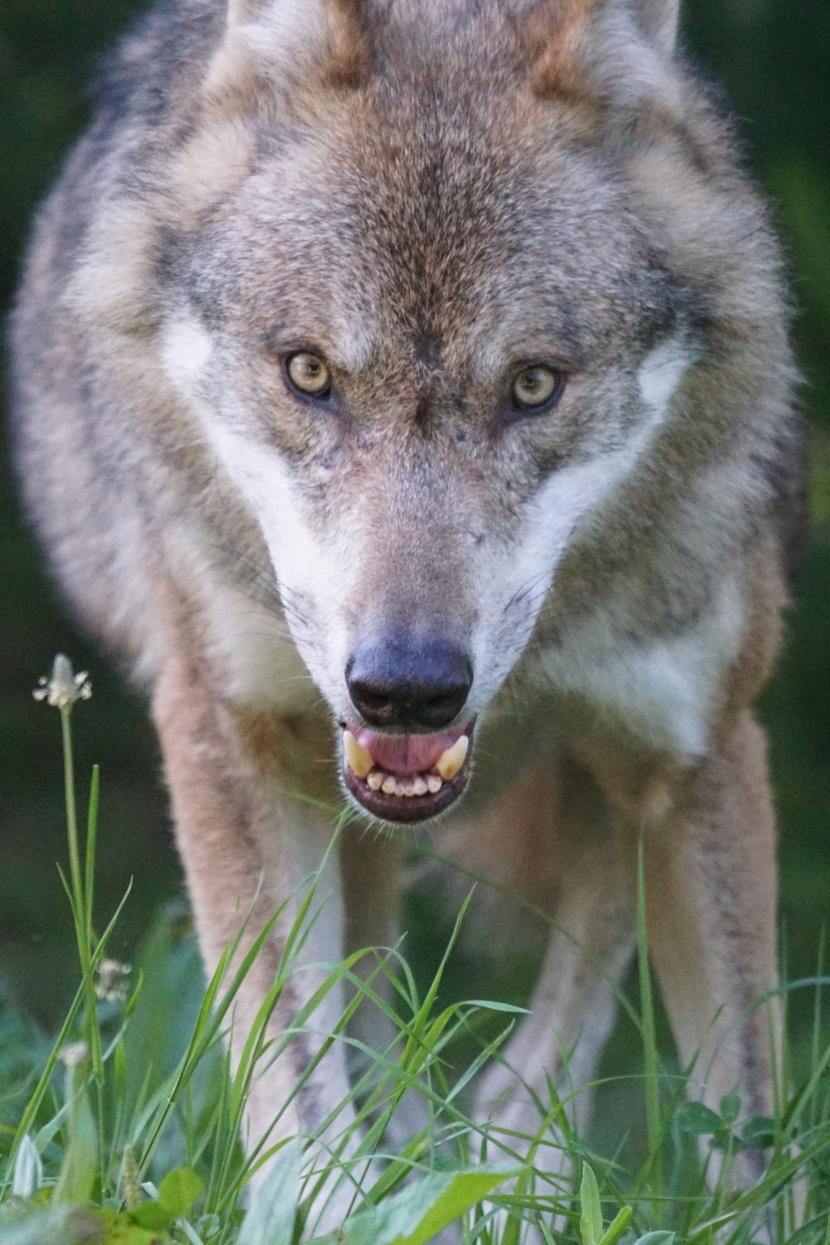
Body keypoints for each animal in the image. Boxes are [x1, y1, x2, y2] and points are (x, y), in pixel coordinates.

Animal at [11, 0, 806, 1225]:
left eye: (532, 385)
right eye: (308, 374)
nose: (406, 685)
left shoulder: (696, 750)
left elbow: (751, 1142)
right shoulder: (229, 731)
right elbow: (293, 1088)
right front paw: (341, 1207)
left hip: (612, 784)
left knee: (560, 1003)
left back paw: (504, 1165)